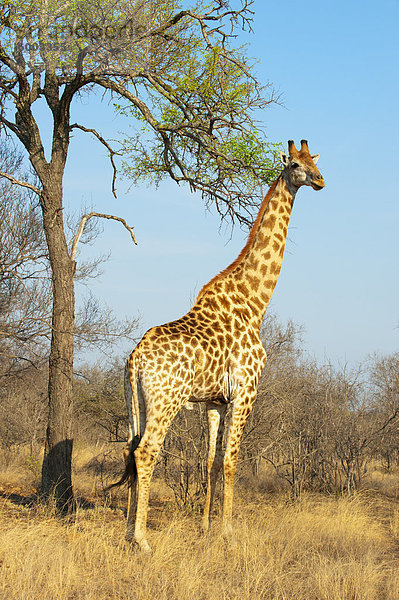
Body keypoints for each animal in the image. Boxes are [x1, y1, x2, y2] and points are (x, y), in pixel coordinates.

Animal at [112, 138, 324, 552]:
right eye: (295, 165)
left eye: (315, 161)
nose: (321, 180)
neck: (255, 303)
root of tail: (134, 359)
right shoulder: (246, 391)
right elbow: (231, 460)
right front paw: (227, 532)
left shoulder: (214, 402)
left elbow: (209, 461)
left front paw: (206, 529)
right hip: (166, 400)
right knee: (146, 452)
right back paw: (142, 540)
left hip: (137, 401)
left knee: (130, 448)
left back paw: (129, 532)